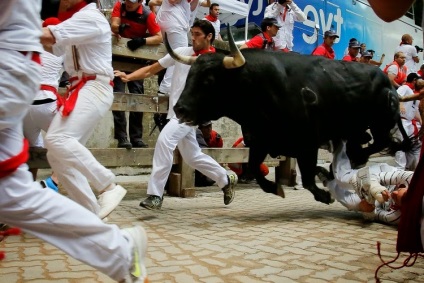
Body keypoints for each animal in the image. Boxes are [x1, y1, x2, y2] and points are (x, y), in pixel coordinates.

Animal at [167, 41, 412, 205]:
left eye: (208, 80)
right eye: (189, 76)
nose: (179, 109)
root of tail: (389, 82)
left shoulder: (308, 142)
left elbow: (309, 178)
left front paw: (325, 195)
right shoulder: (259, 140)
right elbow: (255, 168)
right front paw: (275, 188)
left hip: (380, 122)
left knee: (383, 143)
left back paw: (345, 164)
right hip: (355, 130)